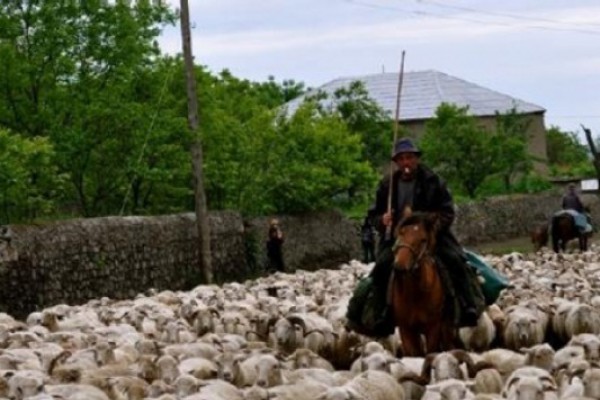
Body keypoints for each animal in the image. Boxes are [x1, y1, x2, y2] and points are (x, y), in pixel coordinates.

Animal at [390, 211, 454, 358]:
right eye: (401, 233)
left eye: (423, 240)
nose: (400, 266)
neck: (416, 294)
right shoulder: (406, 329)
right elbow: (414, 354)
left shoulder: (433, 327)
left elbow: (431, 351)